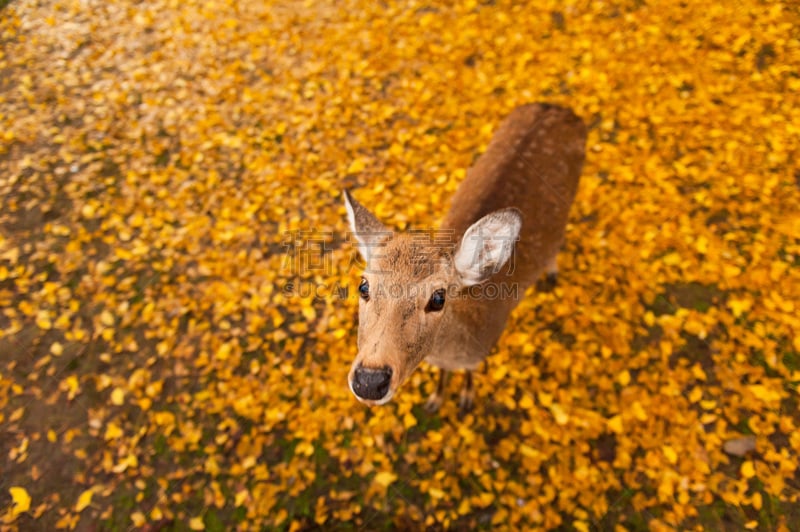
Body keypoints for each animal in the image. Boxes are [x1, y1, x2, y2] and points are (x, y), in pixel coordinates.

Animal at [344, 102, 588, 414]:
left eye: (438, 298)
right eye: (363, 286)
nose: (370, 381)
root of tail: (560, 107)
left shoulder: (482, 351)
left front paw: (466, 398)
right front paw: (435, 400)